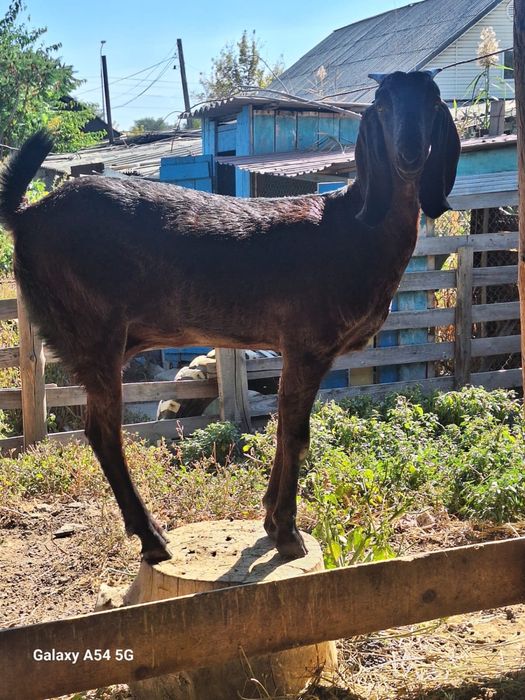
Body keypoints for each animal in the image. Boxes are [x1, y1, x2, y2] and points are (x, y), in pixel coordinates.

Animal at [0, 71, 460, 563]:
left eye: (434, 103)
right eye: (383, 103)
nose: (409, 154)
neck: (354, 225)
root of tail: (25, 215)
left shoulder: (294, 348)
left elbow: (282, 425)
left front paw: (270, 520)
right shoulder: (308, 342)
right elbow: (296, 434)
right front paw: (287, 534)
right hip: (94, 328)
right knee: (104, 431)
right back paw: (152, 537)